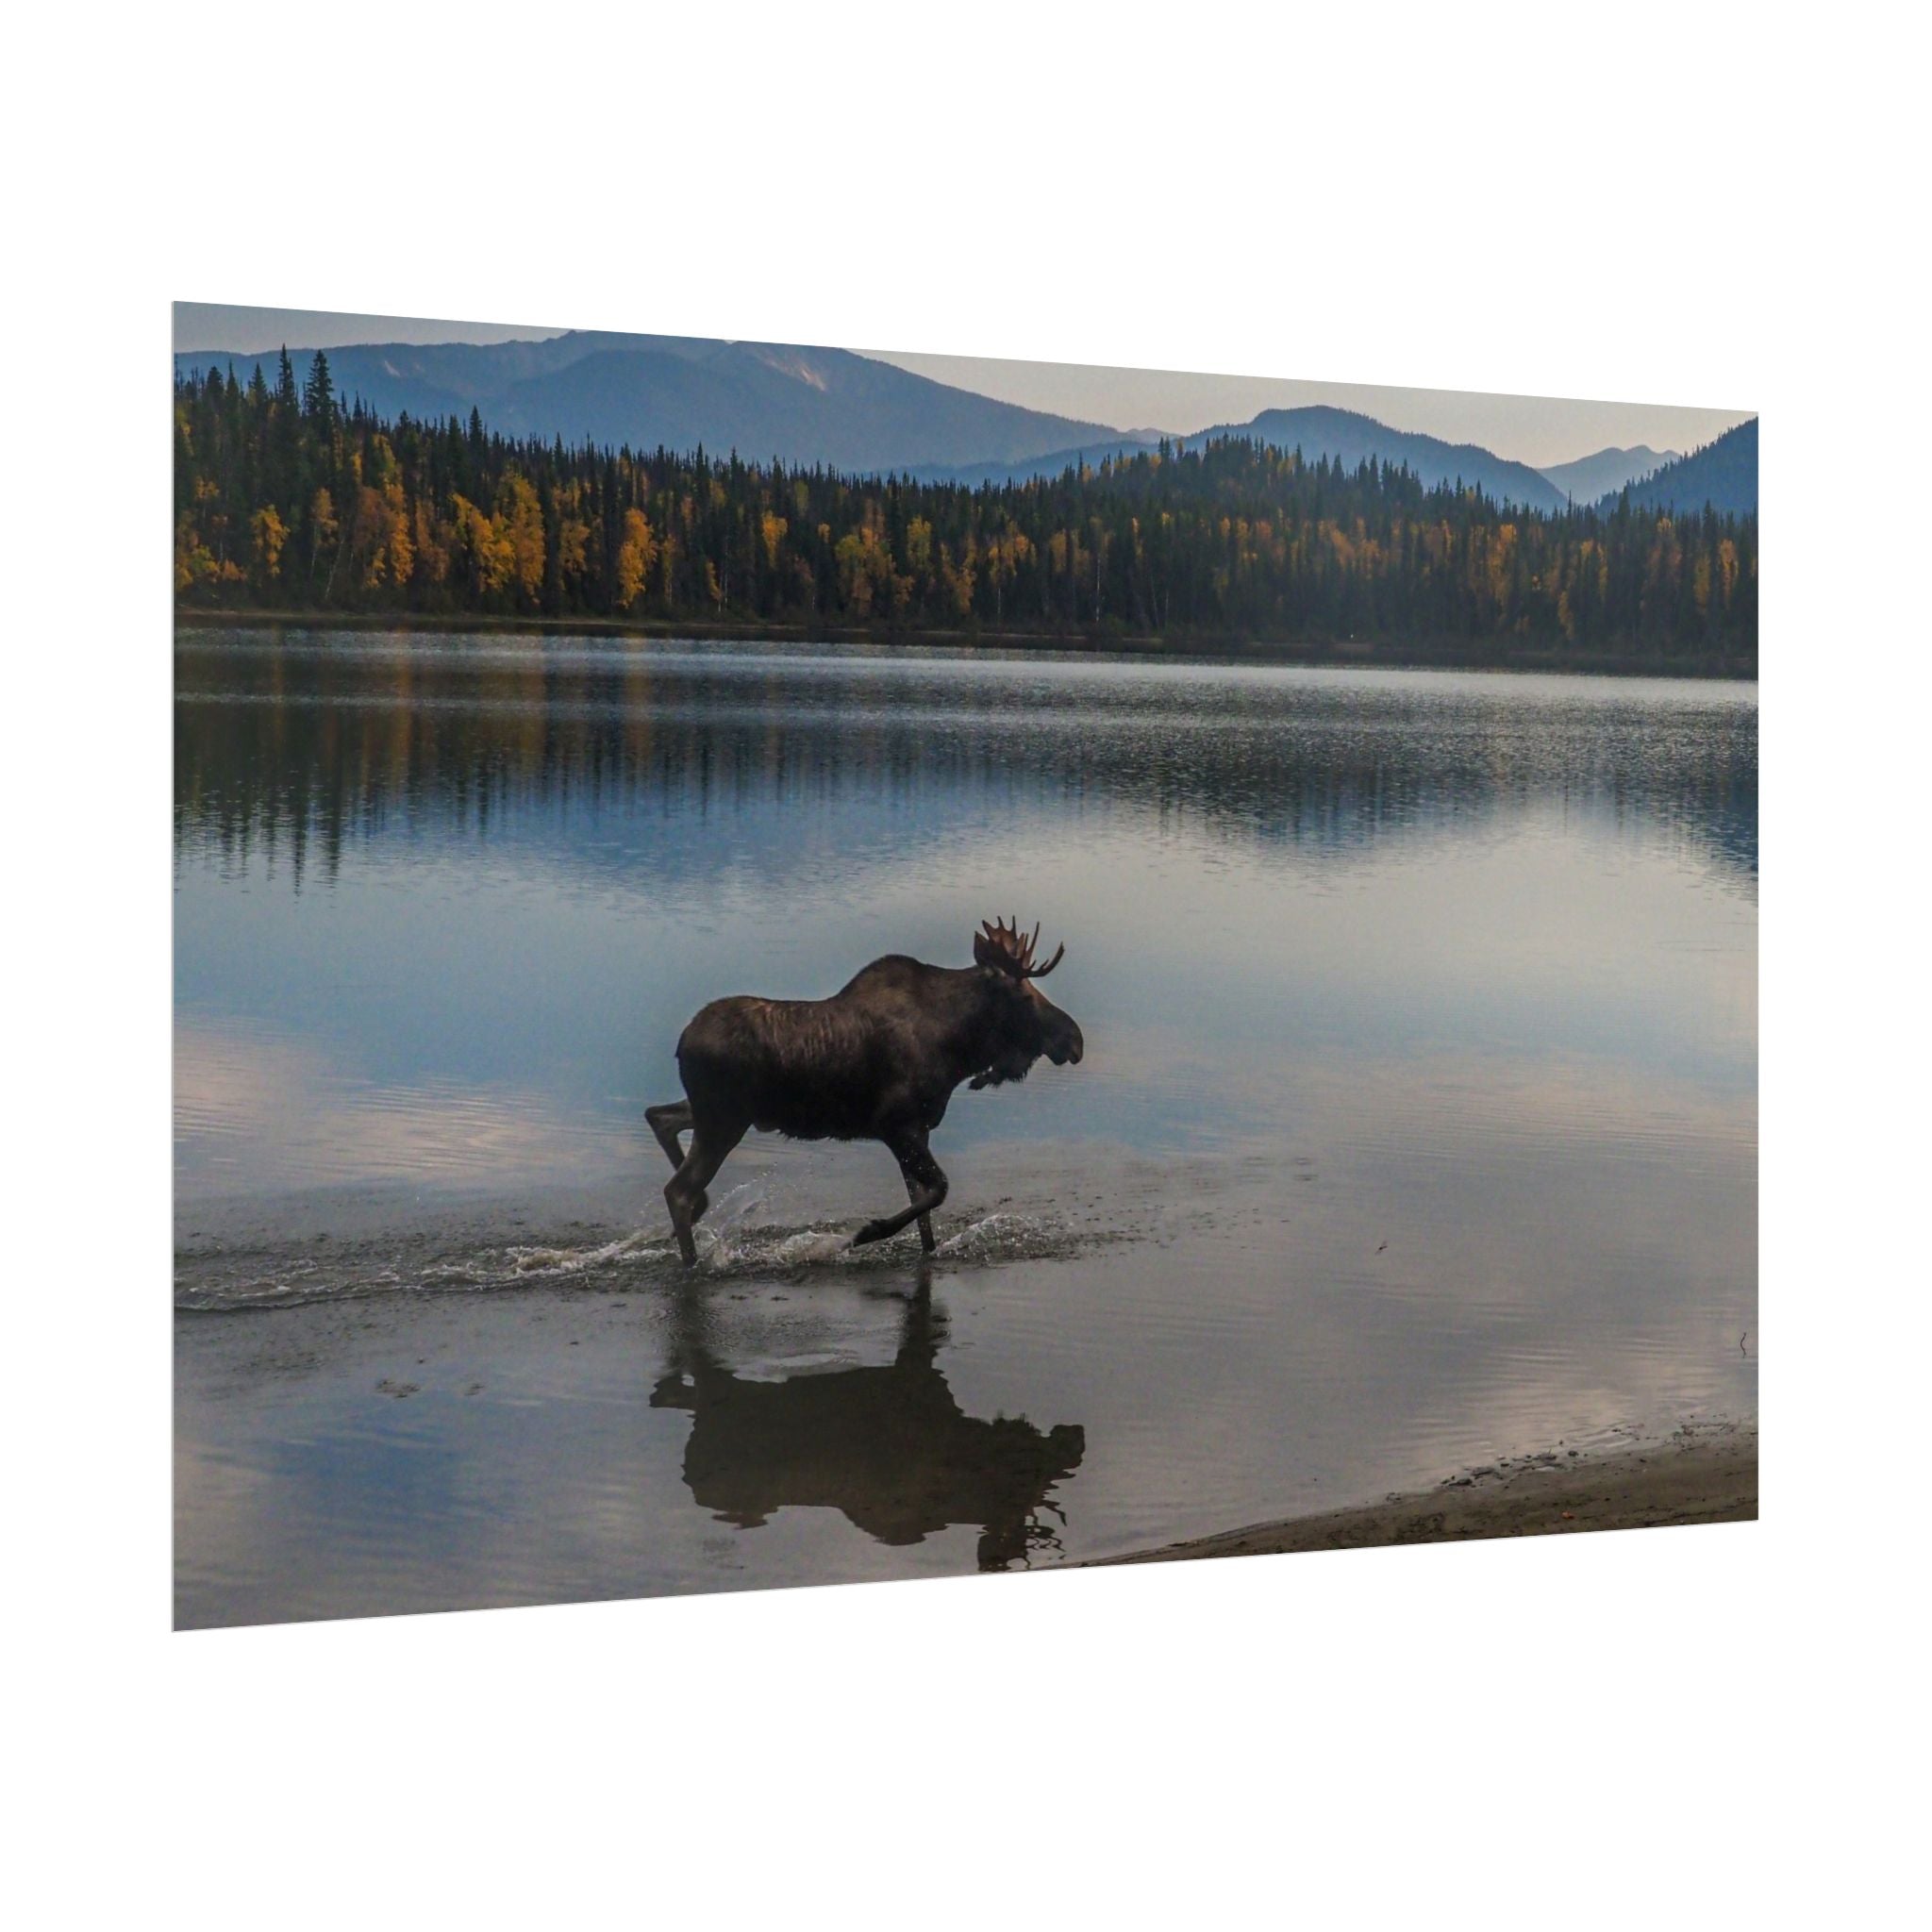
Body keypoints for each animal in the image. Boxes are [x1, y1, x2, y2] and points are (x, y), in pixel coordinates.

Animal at [646, 918, 1084, 1265]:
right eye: (1024, 995)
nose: (1075, 1040)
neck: (957, 1049)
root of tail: (682, 1043)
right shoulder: (895, 1125)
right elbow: (937, 1191)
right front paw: (864, 1233)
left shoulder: (918, 1130)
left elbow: (924, 1210)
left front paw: (924, 1249)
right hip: (723, 1120)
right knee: (677, 1189)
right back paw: (692, 1259)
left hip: (719, 1114)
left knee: (660, 1117)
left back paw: (699, 1212)